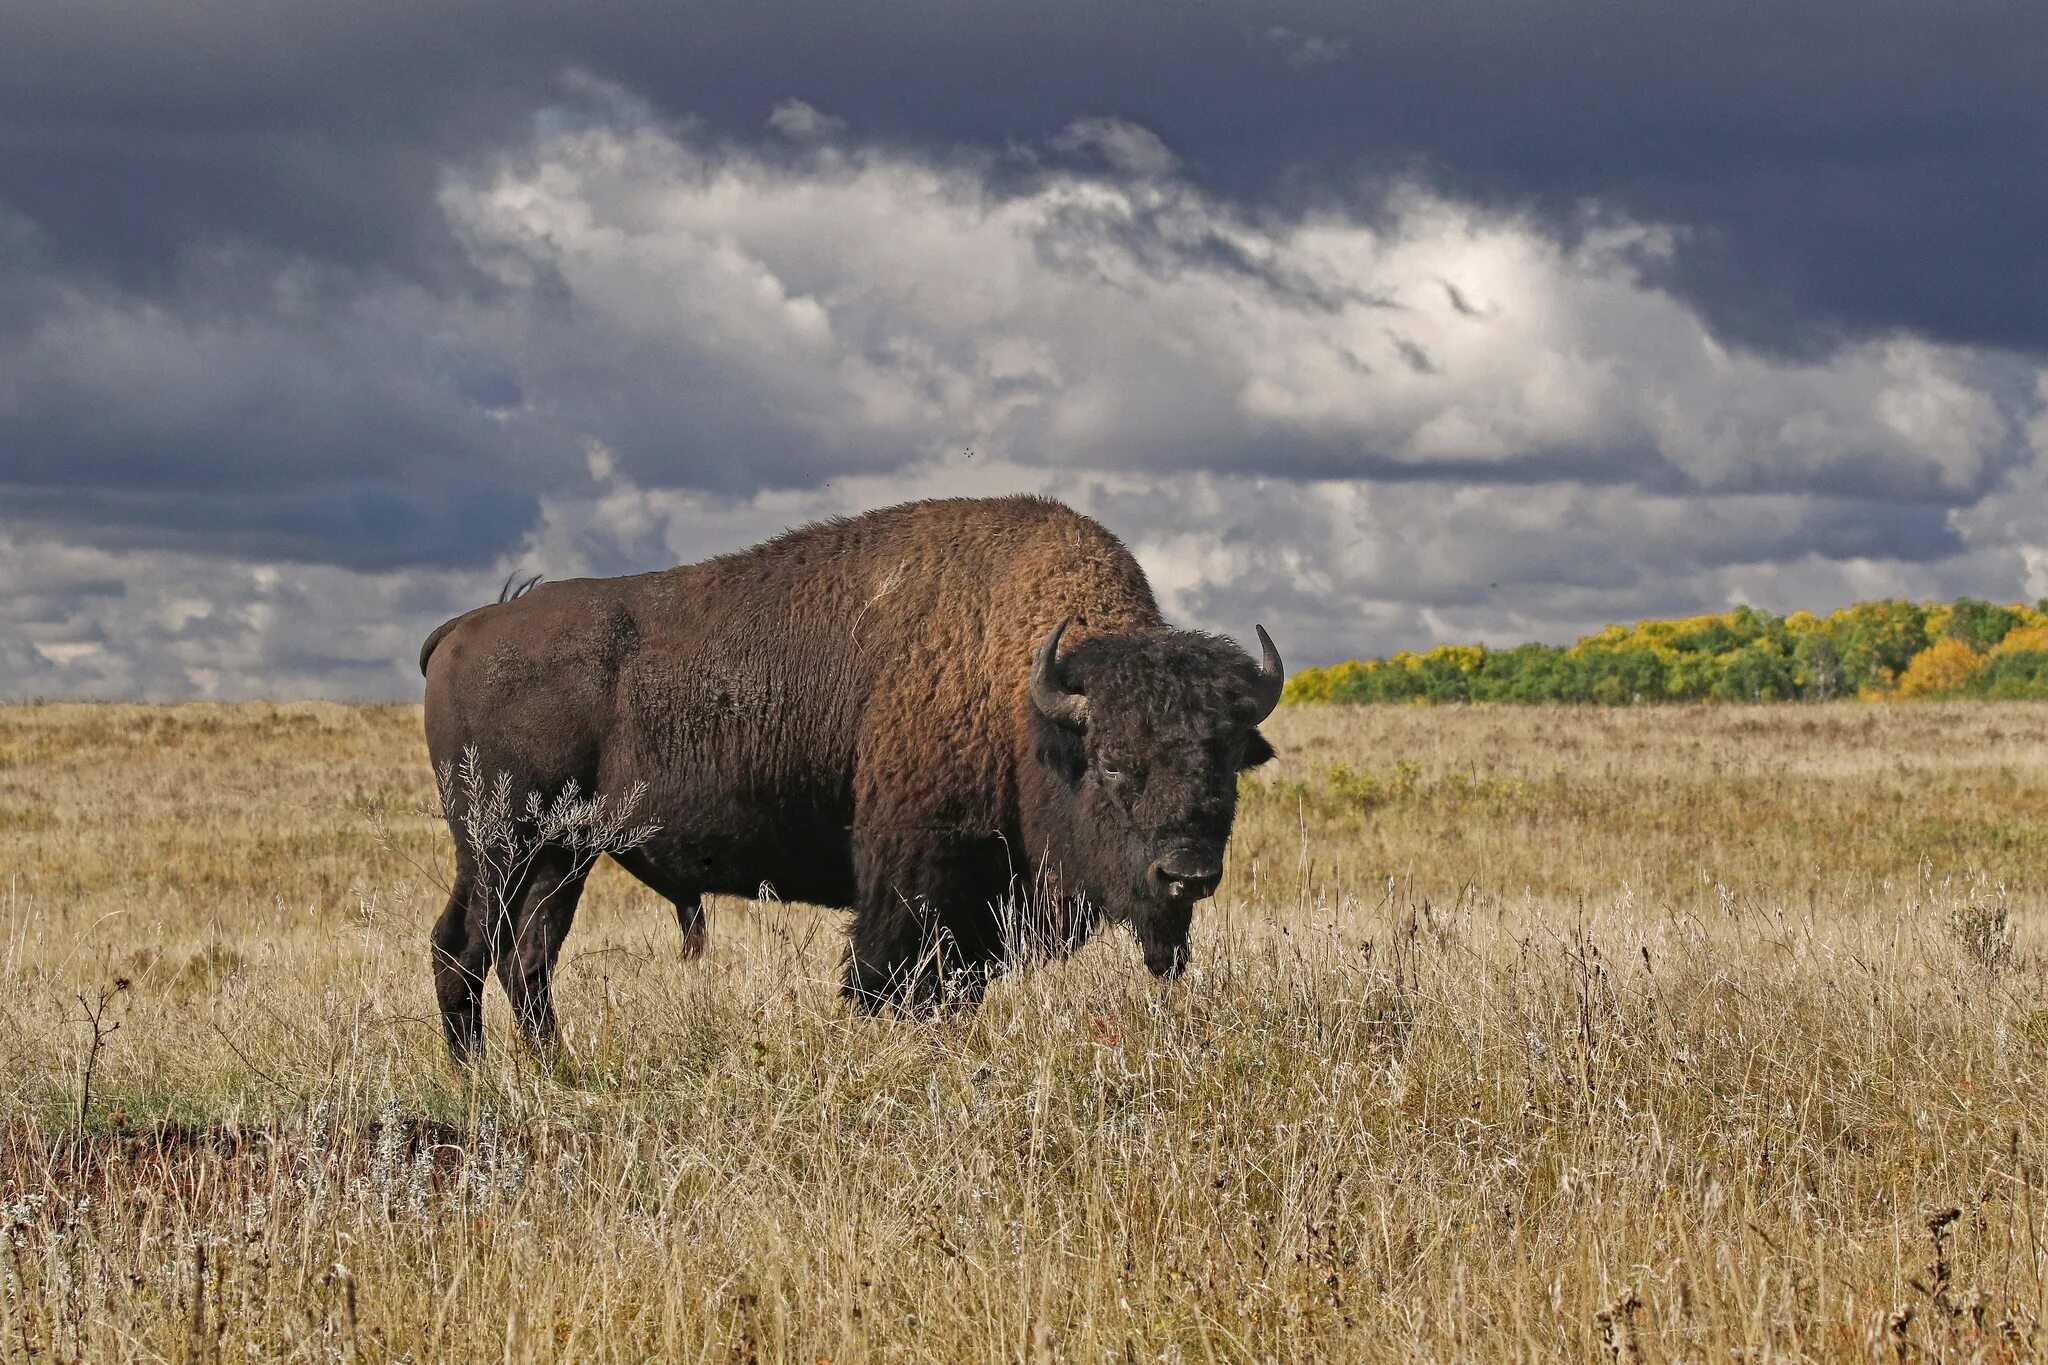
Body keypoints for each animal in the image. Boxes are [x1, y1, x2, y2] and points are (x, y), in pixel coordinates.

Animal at [419, 497, 1277, 1064]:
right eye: (1113, 762)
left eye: (1226, 764)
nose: (1186, 874)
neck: (1025, 700)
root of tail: (464, 628)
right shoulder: (914, 883)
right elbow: (889, 980)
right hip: (498, 844)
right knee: (462, 946)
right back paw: (479, 1077)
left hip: (564, 854)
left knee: (527, 956)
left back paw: (555, 1069)